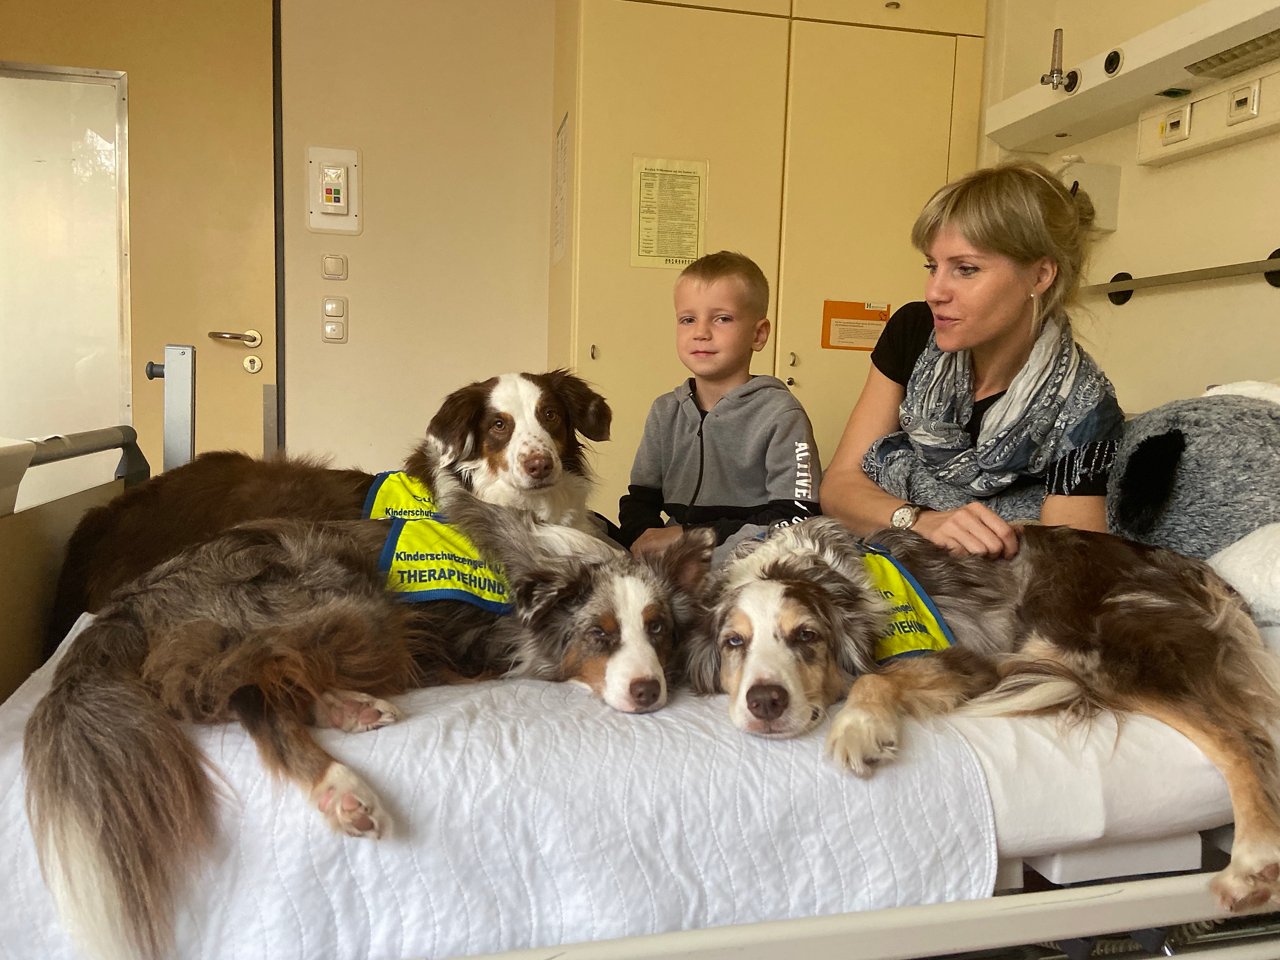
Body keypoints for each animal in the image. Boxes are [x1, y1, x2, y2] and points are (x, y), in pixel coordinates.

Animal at [24, 448, 716, 960]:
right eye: (600, 634)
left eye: (659, 630)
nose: (648, 692)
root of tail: (139, 595)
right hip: (349, 602)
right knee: (242, 688)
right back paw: (340, 785)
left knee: (256, 681)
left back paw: (347, 709)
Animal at [696, 519, 1280, 916]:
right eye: (733, 643)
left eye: (807, 636)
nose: (765, 702)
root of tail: (1191, 568)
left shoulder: (967, 662)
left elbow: (872, 679)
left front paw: (859, 729)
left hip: (1097, 649)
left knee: (1240, 739)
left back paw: (1251, 863)